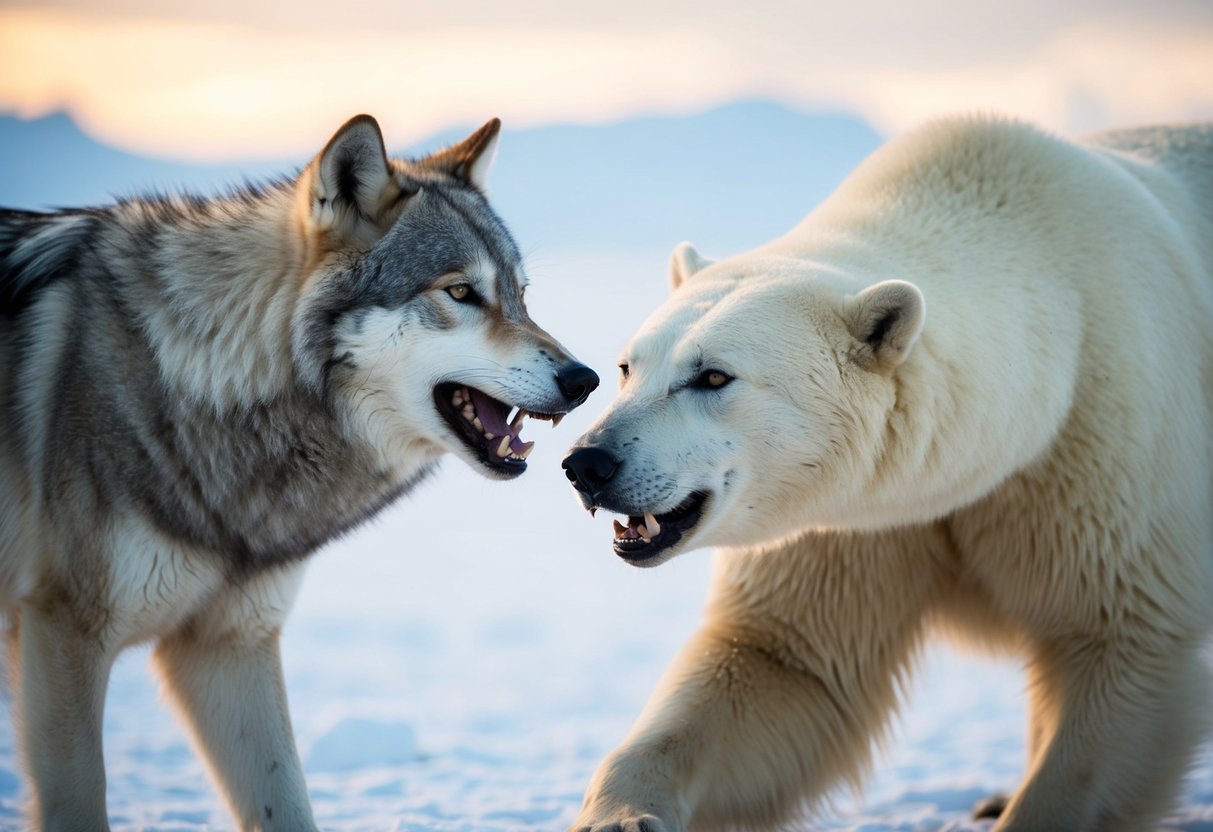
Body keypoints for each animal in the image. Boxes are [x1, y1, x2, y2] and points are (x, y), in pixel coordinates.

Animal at [0, 113, 598, 830]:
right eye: (461, 292)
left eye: (521, 295)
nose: (585, 380)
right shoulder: (62, 632)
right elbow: (79, 797)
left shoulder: (229, 644)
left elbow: (283, 802)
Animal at [561, 116, 1213, 831]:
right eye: (627, 366)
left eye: (712, 376)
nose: (587, 462)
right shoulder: (853, 522)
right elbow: (781, 662)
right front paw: (622, 815)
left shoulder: (1094, 454)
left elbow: (1115, 643)